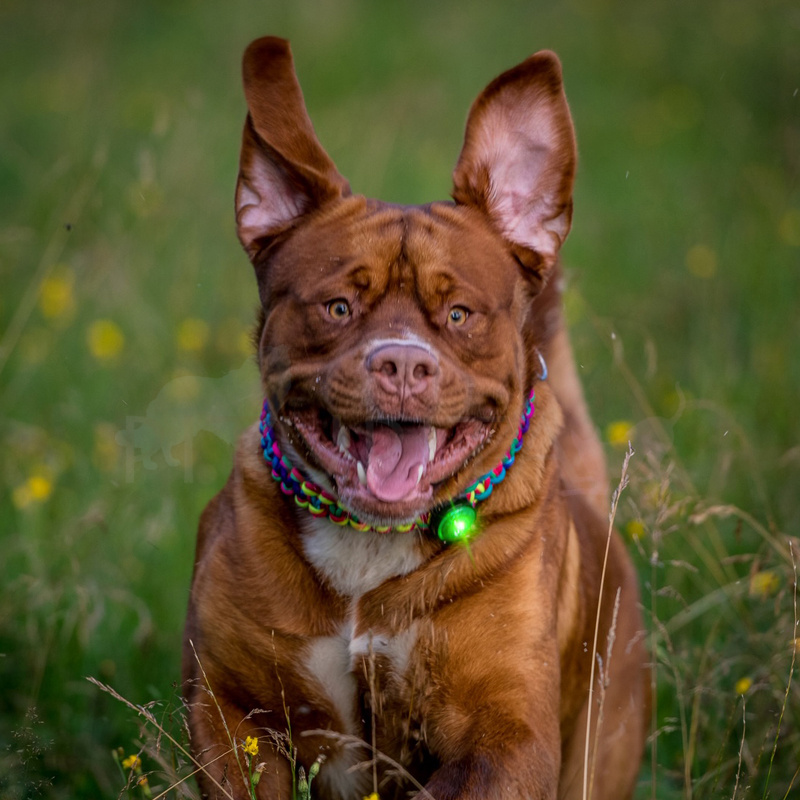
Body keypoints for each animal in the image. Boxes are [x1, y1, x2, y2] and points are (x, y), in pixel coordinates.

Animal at [184, 37, 648, 800]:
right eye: (338, 306)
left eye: (458, 314)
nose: (402, 364)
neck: (368, 549)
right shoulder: (229, 708)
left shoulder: (506, 735)